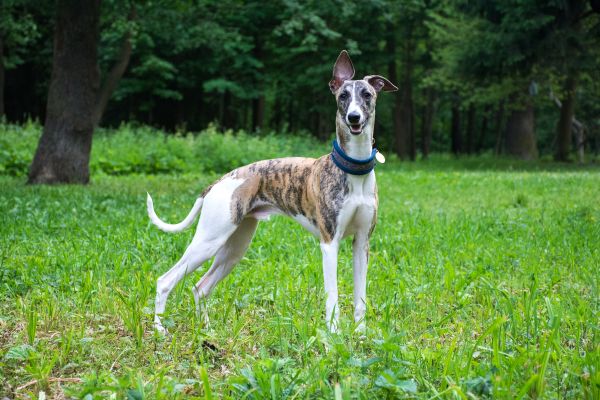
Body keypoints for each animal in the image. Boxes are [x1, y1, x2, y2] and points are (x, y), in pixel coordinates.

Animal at [146, 50, 398, 334]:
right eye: (343, 96)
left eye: (367, 94)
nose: (353, 118)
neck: (354, 170)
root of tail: (219, 182)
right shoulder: (329, 243)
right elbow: (332, 298)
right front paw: (334, 337)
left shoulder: (362, 243)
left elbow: (360, 299)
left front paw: (361, 336)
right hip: (209, 240)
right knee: (165, 280)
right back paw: (160, 329)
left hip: (234, 246)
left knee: (200, 287)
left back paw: (206, 331)